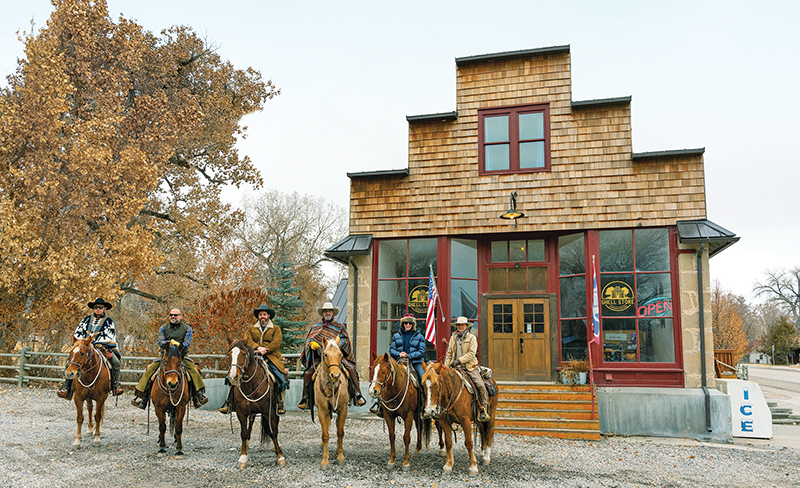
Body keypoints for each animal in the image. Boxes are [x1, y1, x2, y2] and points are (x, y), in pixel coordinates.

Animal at [223, 340, 286, 468]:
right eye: (229, 354)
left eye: (243, 354)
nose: (233, 376)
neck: (250, 384)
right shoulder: (241, 413)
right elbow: (243, 433)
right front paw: (243, 457)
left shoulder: (268, 411)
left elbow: (273, 432)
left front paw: (280, 457)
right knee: (249, 429)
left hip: (274, 412)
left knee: (274, 428)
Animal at [314, 336, 348, 468]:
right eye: (325, 354)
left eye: (340, 354)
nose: (336, 375)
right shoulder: (322, 411)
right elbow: (325, 435)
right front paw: (325, 460)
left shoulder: (343, 409)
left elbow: (340, 433)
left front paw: (340, 456)